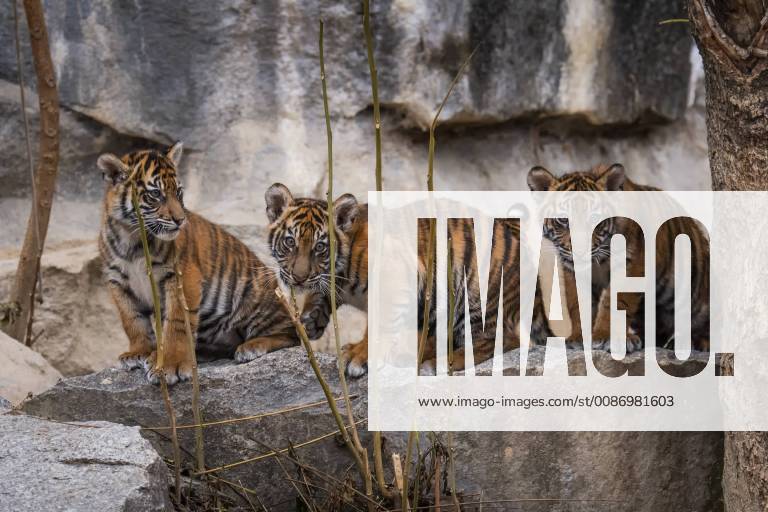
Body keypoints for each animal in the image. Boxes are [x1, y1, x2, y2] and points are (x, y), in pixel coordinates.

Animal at [97, 143, 297, 385]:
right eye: (156, 194)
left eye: (179, 192)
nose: (180, 220)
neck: (132, 239)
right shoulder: (118, 282)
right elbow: (132, 321)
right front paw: (140, 352)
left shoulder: (181, 276)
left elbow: (176, 324)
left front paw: (170, 365)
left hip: (255, 297)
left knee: (292, 335)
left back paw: (250, 347)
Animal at [265, 184, 552, 377]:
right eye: (290, 242)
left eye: (321, 247)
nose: (299, 277)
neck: (339, 273)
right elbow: (321, 295)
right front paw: (309, 318)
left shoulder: (396, 279)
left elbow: (378, 327)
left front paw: (357, 356)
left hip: (476, 295)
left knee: (504, 338)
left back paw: (438, 363)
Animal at [526, 163, 710, 352]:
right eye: (563, 219)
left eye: (594, 218)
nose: (580, 249)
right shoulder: (573, 271)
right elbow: (577, 304)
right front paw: (578, 338)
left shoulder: (630, 264)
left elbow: (614, 302)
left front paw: (607, 337)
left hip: (694, 296)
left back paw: (697, 342)